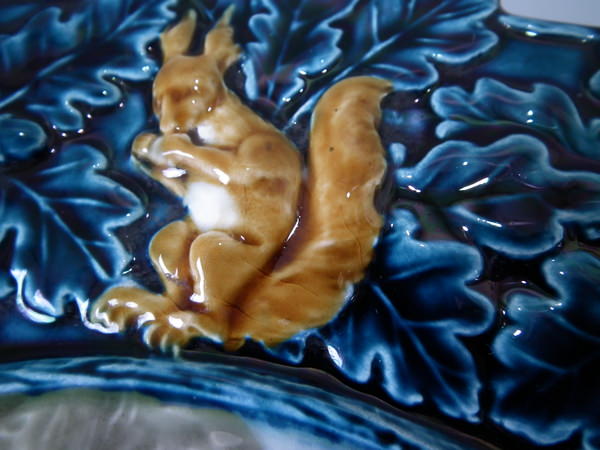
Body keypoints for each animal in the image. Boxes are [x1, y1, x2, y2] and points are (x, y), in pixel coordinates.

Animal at [91, 8, 392, 352]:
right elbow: (178, 179)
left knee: (216, 323)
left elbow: (226, 167)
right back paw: (145, 308)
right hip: (169, 243)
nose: (168, 126)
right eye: (155, 101)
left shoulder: (260, 153)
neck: (209, 128)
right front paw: (143, 145)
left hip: (214, 252)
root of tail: (243, 321)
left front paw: (166, 144)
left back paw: (181, 326)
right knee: (178, 284)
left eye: (193, 92)